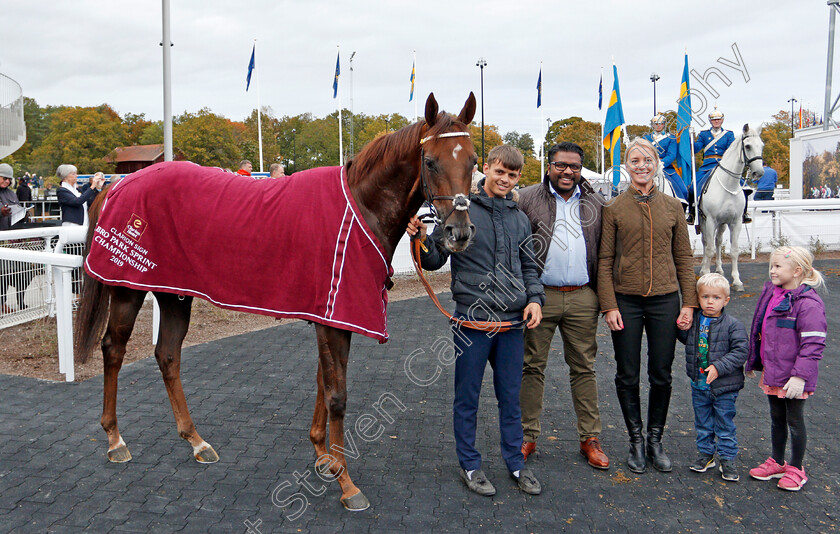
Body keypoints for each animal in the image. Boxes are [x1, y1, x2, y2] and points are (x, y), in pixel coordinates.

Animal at [74, 94, 476, 512]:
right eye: (431, 161)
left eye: (473, 161)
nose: (459, 233)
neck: (361, 207)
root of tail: (120, 184)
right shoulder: (333, 317)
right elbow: (337, 395)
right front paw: (346, 482)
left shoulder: (332, 315)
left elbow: (322, 382)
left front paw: (323, 457)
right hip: (128, 287)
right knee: (113, 349)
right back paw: (115, 439)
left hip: (173, 293)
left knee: (168, 354)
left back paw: (196, 441)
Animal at [700, 124, 764, 294]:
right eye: (747, 146)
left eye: (762, 146)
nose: (759, 173)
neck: (728, 184)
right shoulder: (710, 221)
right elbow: (709, 249)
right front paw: (706, 273)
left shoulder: (735, 222)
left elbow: (734, 251)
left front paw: (737, 280)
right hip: (703, 222)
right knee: (706, 242)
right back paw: (703, 268)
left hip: (722, 224)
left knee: (717, 241)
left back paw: (719, 269)